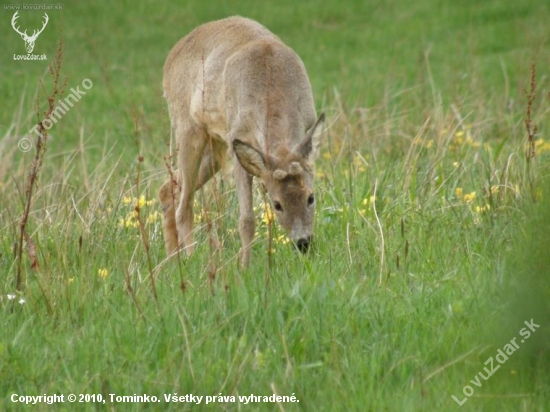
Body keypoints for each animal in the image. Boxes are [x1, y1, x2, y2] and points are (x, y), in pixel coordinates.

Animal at [160, 16, 326, 268]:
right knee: (183, 205)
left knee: (167, 190)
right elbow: (246, 219)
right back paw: (191, 258)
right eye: (277, 204)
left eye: (311, 197)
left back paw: (172, 262)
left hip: (213, 146)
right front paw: (244, 268)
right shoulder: (236, 141)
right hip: (187, 127)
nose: (303, 242)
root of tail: (169, 60)